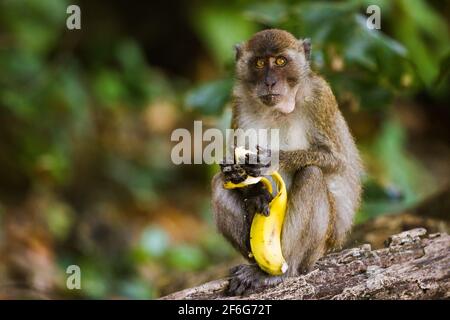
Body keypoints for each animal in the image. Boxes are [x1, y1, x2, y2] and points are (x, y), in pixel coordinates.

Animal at [211, 29, 362, 296]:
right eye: (260, 63)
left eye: (281, 61)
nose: (269, 82)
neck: (277, 110)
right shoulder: (238, 103)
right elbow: (231, 170)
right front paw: (253, 188)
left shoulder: (320, 96)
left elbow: (337, 160)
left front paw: (272, 159)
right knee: (220, 183)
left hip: (322, 243)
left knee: (312, 175)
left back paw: (279, 273)